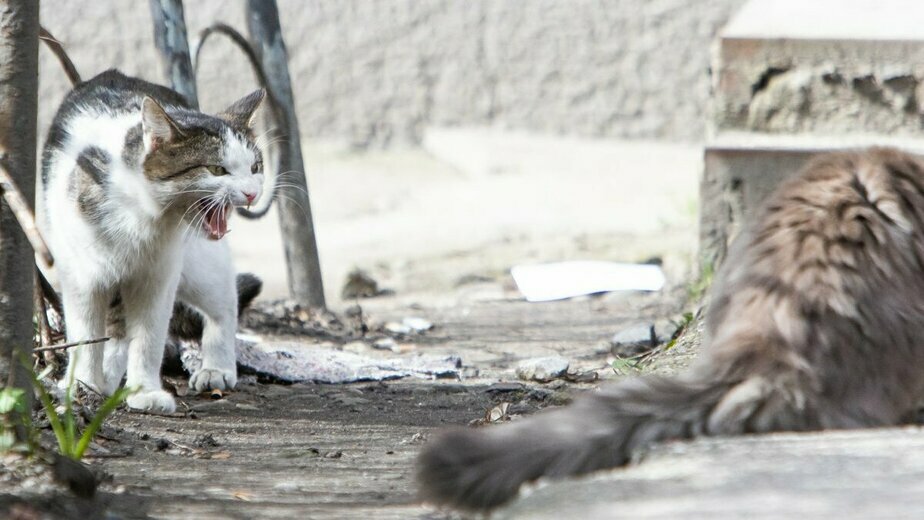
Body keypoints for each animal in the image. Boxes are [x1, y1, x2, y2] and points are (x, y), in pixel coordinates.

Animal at [43, 70, 268, 414]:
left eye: (255, 167)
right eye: (217, 169)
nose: (252, 193)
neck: (144, 217)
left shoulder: (158, 279)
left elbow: (148, 339)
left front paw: (144, 392)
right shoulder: (82, 278)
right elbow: (86, 335)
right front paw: (83, 385)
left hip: (199, 263)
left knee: (224, 303)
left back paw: (217, 368)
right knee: (115, 329)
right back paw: (104, 379)